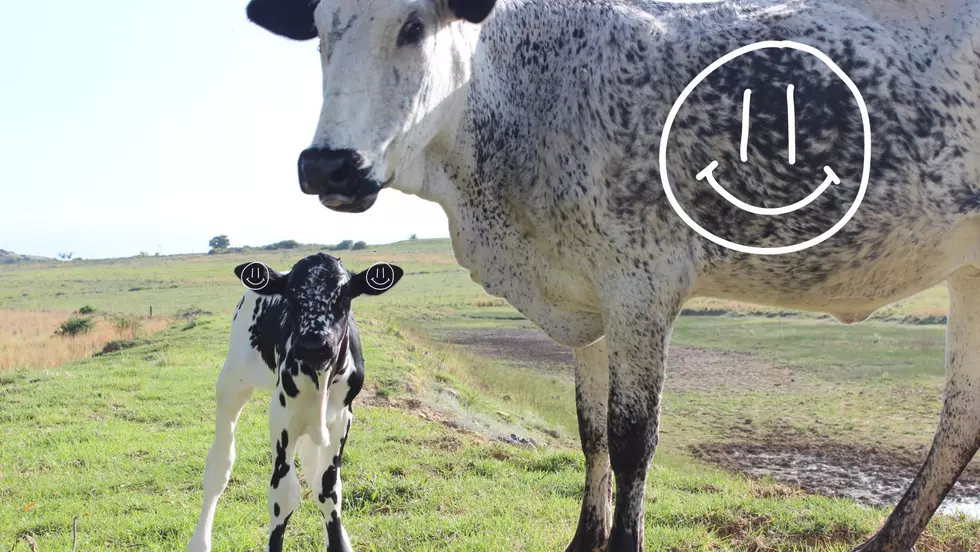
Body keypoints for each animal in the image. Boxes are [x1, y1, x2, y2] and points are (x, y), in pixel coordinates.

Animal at [186, 253, 403, 551]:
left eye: (345, 296)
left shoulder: (342, 417)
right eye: (290, 297)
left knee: (313, 470)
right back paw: (199, 541)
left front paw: (338, 541)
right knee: (220, 466)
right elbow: (284, 494)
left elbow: (328, 489)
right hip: (232, 384)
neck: (320, 378)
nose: (314, 345)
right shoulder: (282, 417)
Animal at [244, 0, 980, 549]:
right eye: (321, 30)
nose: (328, 165)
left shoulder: (641, 290)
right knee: (962, 420)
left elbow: (631, 441)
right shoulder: (586, 304)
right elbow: (590, 430)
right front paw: (585, 537)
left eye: (413, 25)